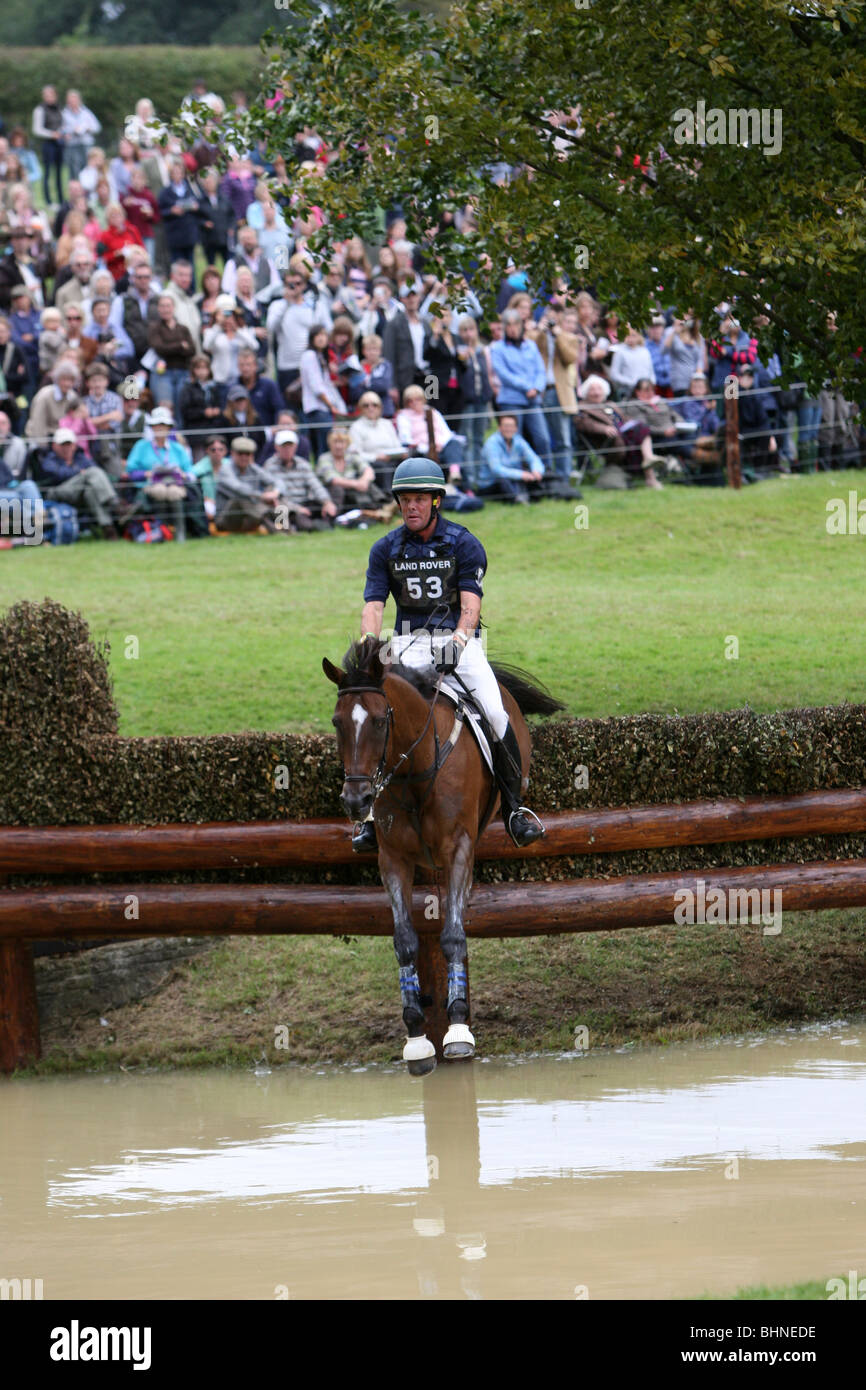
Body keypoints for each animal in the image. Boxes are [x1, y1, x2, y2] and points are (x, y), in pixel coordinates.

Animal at [323, 635, 564, 1075]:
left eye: (380, 721)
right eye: (337, 722)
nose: (356, 801)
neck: (413, 768)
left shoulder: (458, 849)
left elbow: (452, 936)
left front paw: (457, 1030)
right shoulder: (393, 860)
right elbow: (405, 941)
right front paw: (417, 1037)